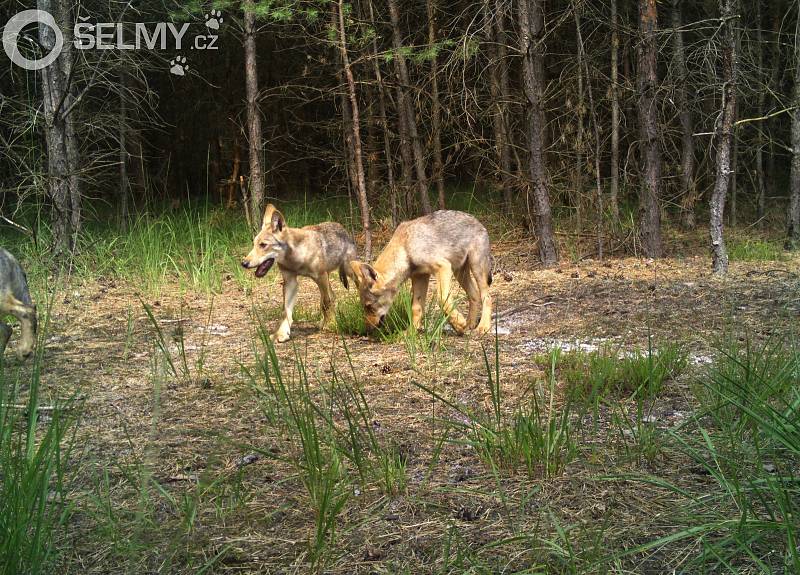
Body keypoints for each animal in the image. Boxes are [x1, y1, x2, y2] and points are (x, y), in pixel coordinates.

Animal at [239, 206, 358, 342]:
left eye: (263, 245)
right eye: (254, 244)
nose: (244, 263)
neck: (295, 258)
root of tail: (343, 229)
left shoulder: (320, 277)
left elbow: (325, 303)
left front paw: (331, 325)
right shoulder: (290, 282)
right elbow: (286, 311)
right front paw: (281, 334)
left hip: (347, 272)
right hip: (327, 278)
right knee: (332, 296)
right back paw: (323, 322)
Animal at [352, 210, 494, 338]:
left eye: (369, 307)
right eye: (365, 308)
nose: (367, 331)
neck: (406, 249)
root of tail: (478, 222)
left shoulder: (442, 267)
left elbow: (442, 299)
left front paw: (458, 323)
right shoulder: (420, 276)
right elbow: (416, 308)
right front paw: (412, 331)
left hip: (476, 269)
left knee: (486, 297)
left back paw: (483, 327)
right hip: (460, 273)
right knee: (474, 295)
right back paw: (470, 324)